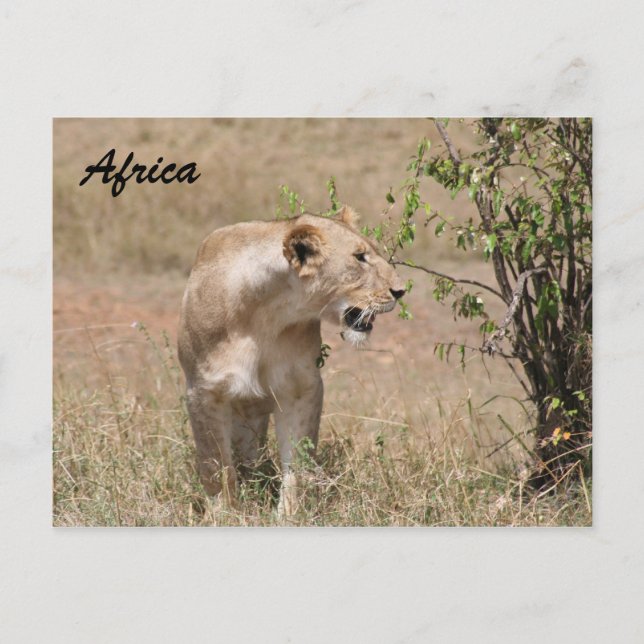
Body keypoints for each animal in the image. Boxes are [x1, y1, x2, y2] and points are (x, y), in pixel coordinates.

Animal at [178, 205, 405, 517]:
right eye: (359, 257)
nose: (401, 290)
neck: (267, 312)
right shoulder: (204, 390)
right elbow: (216, 465)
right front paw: (224, 514)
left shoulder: (301, 388)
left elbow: (298, 461)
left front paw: (289, 515)